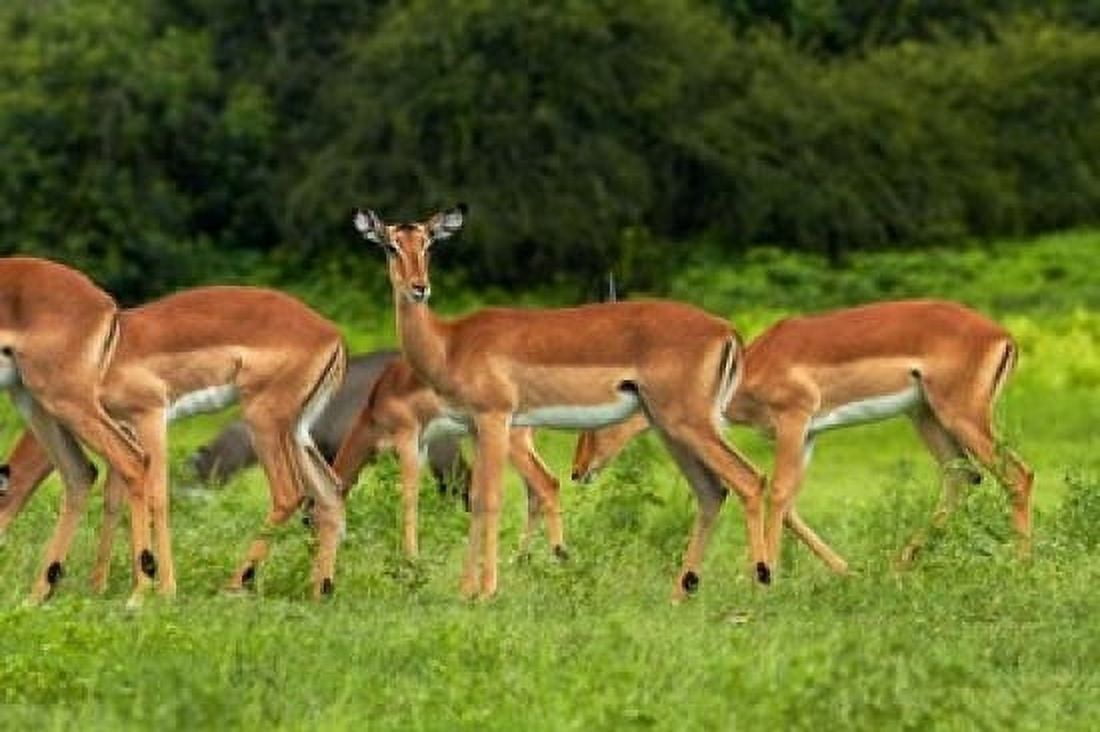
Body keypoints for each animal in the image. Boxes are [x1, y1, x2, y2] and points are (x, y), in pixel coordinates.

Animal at [1, 286, 347, 604]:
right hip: (297, 432)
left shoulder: (148, 418)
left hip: (263, 422)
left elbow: (151, 497)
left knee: (289, 494)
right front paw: (99, 586)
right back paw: (319, 594)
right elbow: (115, 500)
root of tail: (333, 335)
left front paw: (153, 591)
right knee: (330, 493)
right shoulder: (127, 430)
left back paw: (231, 588)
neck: (102, 358)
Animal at [331, 356, 563, 558]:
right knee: (535, 492)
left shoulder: (407, 439)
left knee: (546, 484)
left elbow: (408, 498)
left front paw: (411, 558)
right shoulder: (420, 447)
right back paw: (520, 558)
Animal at [572, 300, 1034, 573]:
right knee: (962, 478)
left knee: (1018, 475)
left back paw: (1021, 567)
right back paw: (897, 567)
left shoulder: (793, 420)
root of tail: (1003, 336)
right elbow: (790, 504)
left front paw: (765, 575)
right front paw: (844, 571)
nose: (577, 470)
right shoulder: (807, 433)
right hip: (926, 416)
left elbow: (776, 493)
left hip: (961, 416)